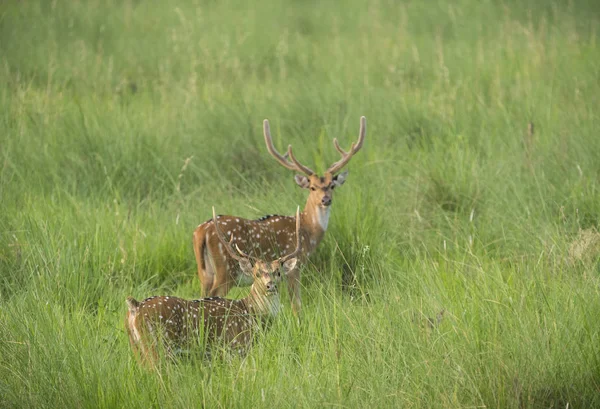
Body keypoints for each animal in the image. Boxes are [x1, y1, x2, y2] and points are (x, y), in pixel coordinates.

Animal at [125, 207, 302, 364]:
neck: (252, 313)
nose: (270, 286)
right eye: (256, 273)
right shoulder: (236, 347)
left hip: (136, 347)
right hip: (157, 346)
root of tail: (135, 307)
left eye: (278, 272)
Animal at [192, 116, 366, 314]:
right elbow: (296, 304)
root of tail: (202, 232)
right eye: (312, 187)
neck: (308, 231)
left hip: (204, 272)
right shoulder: (295, 266)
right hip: (226, 269)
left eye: (332, 185)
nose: (326, 199)